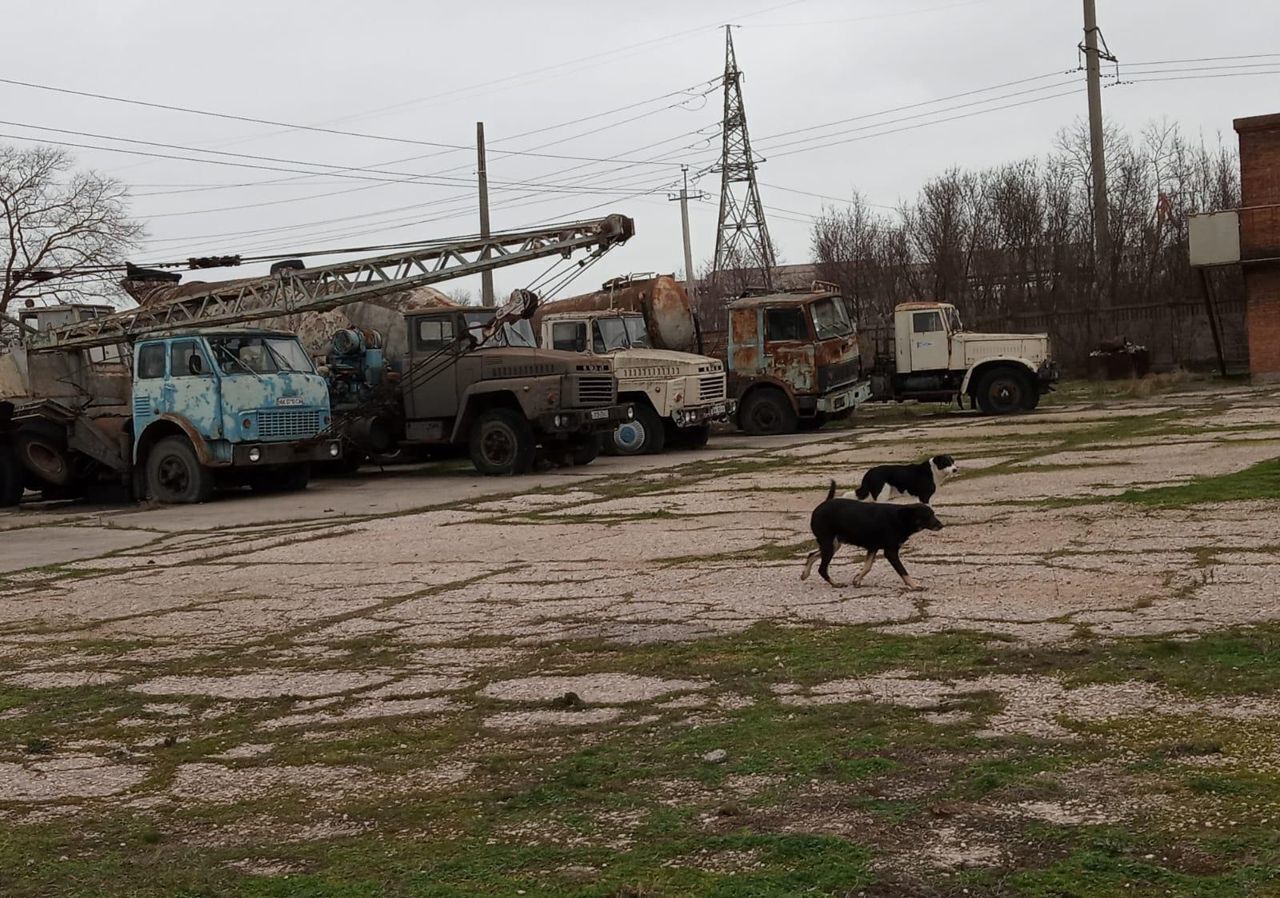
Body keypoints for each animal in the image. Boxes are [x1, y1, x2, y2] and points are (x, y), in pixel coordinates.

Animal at [803, 480, 947, 593]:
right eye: (927, 516)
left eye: (933, 514)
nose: (941, 525)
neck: (901, 519)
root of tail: (822, 505)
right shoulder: (890, 552)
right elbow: (903, 571)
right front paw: (915, 585)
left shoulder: (873, 547)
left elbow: (867, 567)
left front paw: (857, 579)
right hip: (829, 544)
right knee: (822, 568)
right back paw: (835, 583)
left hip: (834, 544)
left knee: (812, 555)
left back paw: (805, 574)